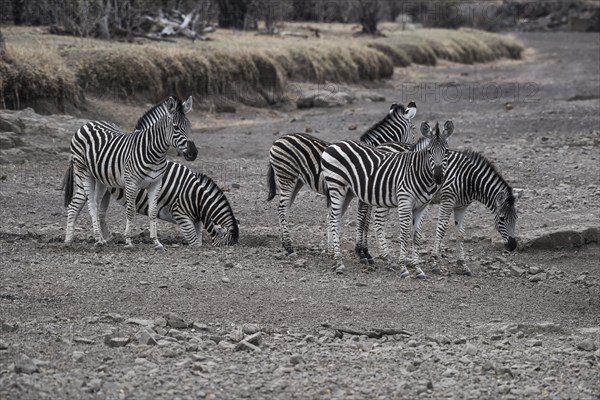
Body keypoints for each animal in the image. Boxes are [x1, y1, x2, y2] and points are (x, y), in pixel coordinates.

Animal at [64, 96, 198, 250]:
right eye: (176, 127)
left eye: (190, 126)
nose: (193, 153)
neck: (154, 153)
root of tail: (87, 124)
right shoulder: (131, 183)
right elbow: (130, 210)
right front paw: (128, 241)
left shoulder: (155, 184)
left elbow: (153, 211)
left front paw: (156, 242)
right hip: (84, 173)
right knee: (87, 204)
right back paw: (89, 240)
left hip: (101, 179)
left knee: (91, 205)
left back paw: (83, 239)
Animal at [105, 160, 239, 247]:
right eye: (225, 245)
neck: (196, 197)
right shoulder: (181, 216)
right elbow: (195, 243)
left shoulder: (196, 219)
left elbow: (199, 238)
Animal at [268, 101, 418, 255]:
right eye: (413, 129)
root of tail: (279, 139)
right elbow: (362, 220)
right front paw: (362, 250)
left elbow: (363, 221)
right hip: (287, 176)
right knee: (282, 209)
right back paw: (289, 246)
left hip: (296, 181)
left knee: (284, 209)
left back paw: (285, 243)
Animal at [324, 122, 450, 278]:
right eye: (429, 152)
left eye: (447, 151)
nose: (438, 177)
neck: (417, 171)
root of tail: (334, 144)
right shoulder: (403, 201)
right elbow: (404, 233)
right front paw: (404, 268)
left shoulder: (422, 206)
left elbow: (416, 235)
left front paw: (418, 269)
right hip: (336, 186)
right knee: (335, 220)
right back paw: (339, 261)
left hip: (348, 192)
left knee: (332, 217)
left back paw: (334, 256)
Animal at [360, 142, 520, 276]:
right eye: (502, 218)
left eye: (516, 218)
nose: (513, 246)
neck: (468, 179)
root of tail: (381, 145)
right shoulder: (447, 200)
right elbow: (441, 229)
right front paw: (436, 263)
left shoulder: (461, 207)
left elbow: (460, 233)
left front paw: (463, 264)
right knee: (378, 222)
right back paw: (388, 258)